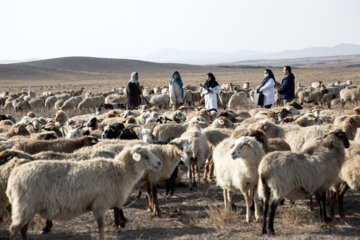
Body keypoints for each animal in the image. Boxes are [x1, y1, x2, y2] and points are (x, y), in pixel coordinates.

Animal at [6, 144, 162, 240]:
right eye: (145, 156)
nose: (159, 163)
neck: (118, 171)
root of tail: (14, 176)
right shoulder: (99, 205)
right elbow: (101, 227)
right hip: (24, 206)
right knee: (14, 229)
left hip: (28, 208)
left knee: (23, 229)